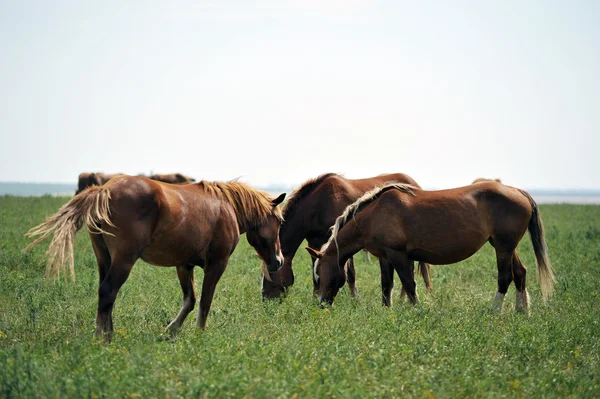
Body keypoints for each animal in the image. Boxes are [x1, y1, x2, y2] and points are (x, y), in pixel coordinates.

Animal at [24, 175, 284, 340]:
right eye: (280, 222)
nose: (278, 262)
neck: (226, 207)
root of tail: (104, 190)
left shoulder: (184, 265)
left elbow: (190, 300)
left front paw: (171, 331)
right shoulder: (216, 264)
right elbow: (205, 302)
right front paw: (199, 334)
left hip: (104, 259)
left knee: (105, 295)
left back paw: (108, 333)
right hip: (124, 260)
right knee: (108, 291)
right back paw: (103, 339)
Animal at [262, 172, 432, 306]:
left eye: (270, 274)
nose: (265, 300)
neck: (318, 205)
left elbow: (350, 274)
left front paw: (355, 300)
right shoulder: (316, 244)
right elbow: (316, 274)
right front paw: (315, 298)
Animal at [312, 181, 556, 312]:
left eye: (320, 275)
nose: (322, 304)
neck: (374, 214)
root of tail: (518, 191)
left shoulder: (398, 255)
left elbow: (409, 285)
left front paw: (417, 310)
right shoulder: (385, 256)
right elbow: (386, 285)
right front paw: (386, 310)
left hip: (503, 248)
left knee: (505, 277)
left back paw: (494, 311)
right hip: (505, 247)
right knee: (520, 273)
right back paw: (522, 311)